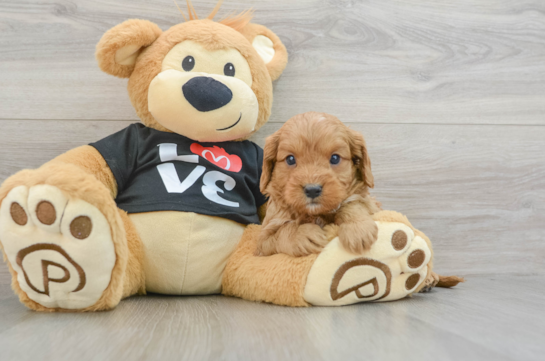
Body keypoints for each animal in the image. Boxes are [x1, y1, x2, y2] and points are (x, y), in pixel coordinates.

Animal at [258, 112, 380, 256]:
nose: (312, 190)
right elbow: (282, 232)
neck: (315, 214)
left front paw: (357, 228)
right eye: (290, 159)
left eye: (335, 158)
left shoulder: (371, 204)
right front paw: (302, 235)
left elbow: (354, 202)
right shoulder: (263, 241)